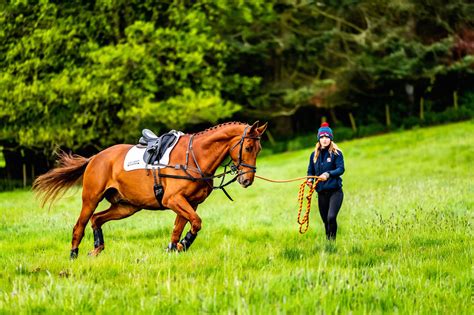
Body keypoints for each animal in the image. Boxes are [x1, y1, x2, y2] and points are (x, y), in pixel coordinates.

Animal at [34, 121, 266, 260]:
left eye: (259, 149)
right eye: (247, 148)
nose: (247, 180)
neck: (195, 157)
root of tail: (96, 157)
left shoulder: (189, 203)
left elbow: (179, 227)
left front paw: (174, 248)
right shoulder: (174, 200)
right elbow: (196, 223)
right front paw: (183, 245)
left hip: (127, 206)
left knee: (97, 219)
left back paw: (97, 249)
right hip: (91, 199)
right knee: (79, 226)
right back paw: (73, 255)